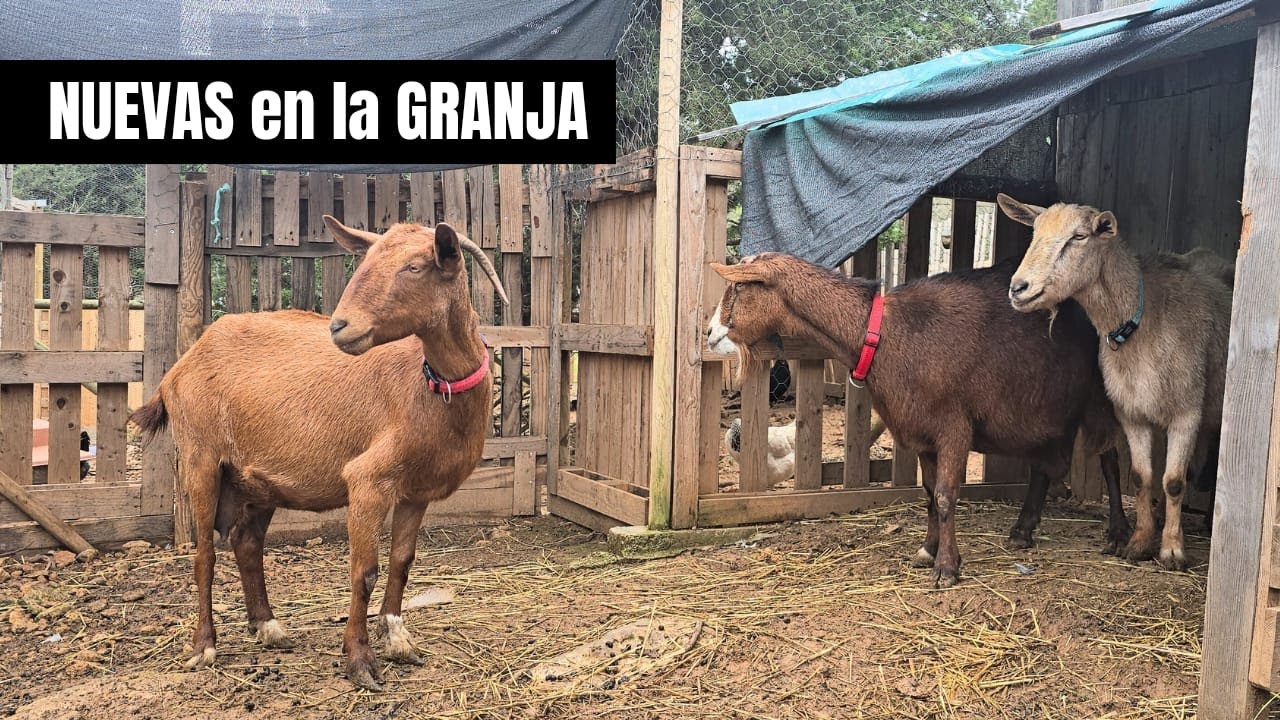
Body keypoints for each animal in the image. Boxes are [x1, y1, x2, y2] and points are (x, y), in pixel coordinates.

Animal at [130, 217, 507, 691]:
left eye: (415, 266)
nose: (339, 326)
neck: (431, 389)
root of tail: (178, 368)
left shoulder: (415, 491)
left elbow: (402, 562)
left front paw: (399, 641)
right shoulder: (368, 480)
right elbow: (364, 571)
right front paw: (360, 661)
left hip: (256, 479)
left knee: (246, 542)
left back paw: (269, 627)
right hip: (200, 457)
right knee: (204, 554)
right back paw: (204, 647)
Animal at [706, 253, 1125, 587]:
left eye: (739, 288)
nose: (709, 334)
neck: (886, 335)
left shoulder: (954, 427)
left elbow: (946, 494)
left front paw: (947, 567)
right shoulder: (922, 432)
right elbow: (928, 493)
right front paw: (928, 550)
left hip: (1098, 398)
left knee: (1110, 459)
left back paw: (1118, 534)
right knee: (1043, 466)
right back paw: (1022, 530)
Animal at [1001, 194, 1232, 570]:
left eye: (1079, 237)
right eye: (1034, 233)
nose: (1018, 288)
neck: (1143, 320)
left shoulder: (1186, 412)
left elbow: (1173, 482)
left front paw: (1172, 550)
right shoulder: (1130, 412)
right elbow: (1140, 476)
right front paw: (1139, 543)